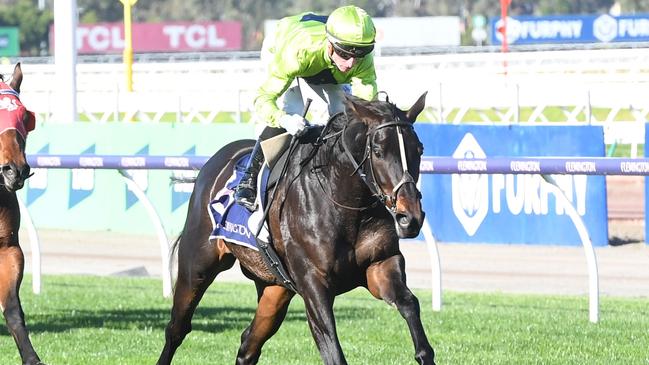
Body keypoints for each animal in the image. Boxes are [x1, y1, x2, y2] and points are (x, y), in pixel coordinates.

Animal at [156, 91, 436, 364]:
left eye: (419, 149)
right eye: (378, 151)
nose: (410, 217)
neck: (346, 203)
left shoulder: (381, 264)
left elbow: (409, 303)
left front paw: (423, 351)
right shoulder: (313, 283)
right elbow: (332, 349)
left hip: (275, 288)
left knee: (249, 344)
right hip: (197, 266)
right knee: (177, 329)